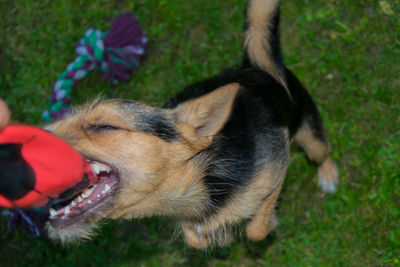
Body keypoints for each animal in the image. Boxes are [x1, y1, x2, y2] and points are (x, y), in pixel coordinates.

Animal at [43, 0, 338, 249]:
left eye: (105, 127)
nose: (38, 134)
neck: (207, 176)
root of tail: (255, 68)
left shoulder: (277, 165)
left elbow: (257, 228)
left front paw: (264, 223)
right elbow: (196, 238)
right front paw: (220, 236)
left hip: (310, 134)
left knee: (321, 152)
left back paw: (328, 176)